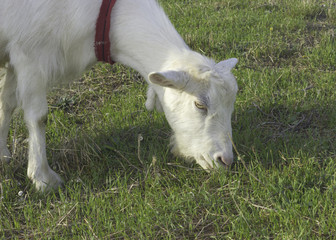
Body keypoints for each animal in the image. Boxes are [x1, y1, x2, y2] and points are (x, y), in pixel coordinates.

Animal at [0, 0, 239, 191]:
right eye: (199, 104)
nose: (226, 160)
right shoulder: (30, 57)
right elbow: (38, 117)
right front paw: (43, 179)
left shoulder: (13, 60)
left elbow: (6, 103)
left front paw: (2, 154)